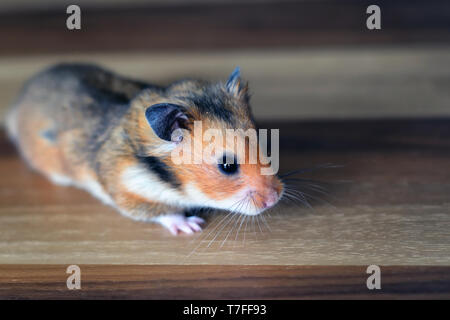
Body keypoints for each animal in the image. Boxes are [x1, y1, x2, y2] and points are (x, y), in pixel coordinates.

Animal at [5, 63, 284, 235]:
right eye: (227, 166)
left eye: (261, 143)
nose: (275, 199)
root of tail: (17, 105)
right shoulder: (128, 191)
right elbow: (162, 211)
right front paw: (192, 226)